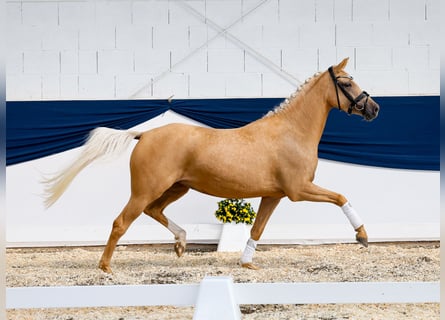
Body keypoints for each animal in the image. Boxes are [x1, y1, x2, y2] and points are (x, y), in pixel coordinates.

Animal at [44, 57, 378, 272]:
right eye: (347, 82)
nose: (373, 108)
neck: (290, 132)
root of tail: (144, 134)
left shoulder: (274, 195)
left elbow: (257, 230)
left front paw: (246, 263)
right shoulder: (299, 190)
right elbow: (341, 197)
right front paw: (362, 236)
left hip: (176, 188)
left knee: (155, 211)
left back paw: (180, 244)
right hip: (145, 190)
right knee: (121, 222)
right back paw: (105, 268)